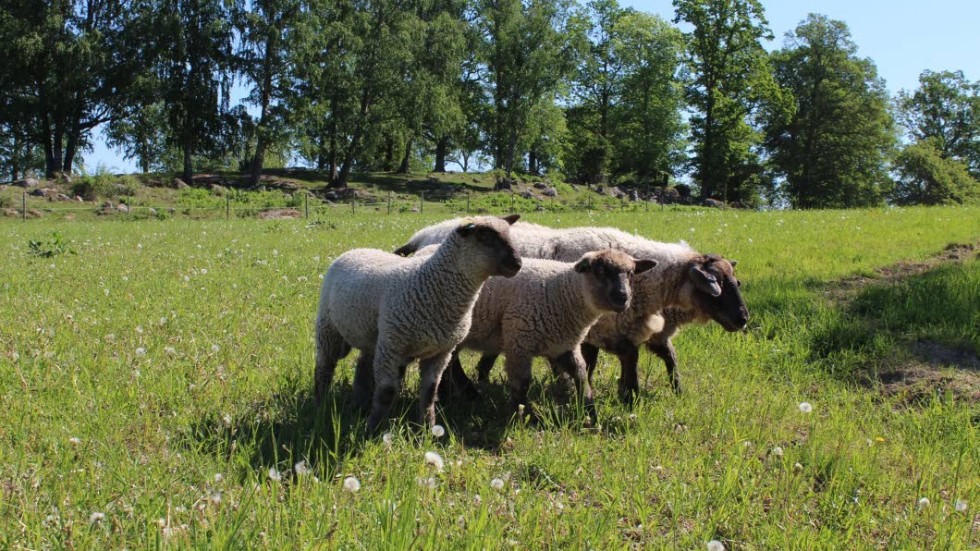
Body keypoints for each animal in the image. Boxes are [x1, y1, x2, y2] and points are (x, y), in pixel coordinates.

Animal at [318, 213, 524, 434]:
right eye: (484, 236)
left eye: (509, 234)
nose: (517, 263)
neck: (430, 283)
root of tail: (358, 249)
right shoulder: (392, 346)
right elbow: (386, 392)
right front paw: (373, 429)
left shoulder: (441, 352)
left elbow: (429, 391)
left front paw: (427, 428)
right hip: (329, 328)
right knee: (325, 366)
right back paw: (321, 401)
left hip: (373, 337)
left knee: (362, 366)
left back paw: (359, 404)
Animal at [400, 219, 752, 402]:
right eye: (716, 284)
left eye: (736, 281)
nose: (743, 319)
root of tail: (418, 237)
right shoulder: (598, 328)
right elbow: (616, 360)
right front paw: (623, 394)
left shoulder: (622, 330)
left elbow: (660, 357)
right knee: (452, 357)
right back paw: (465, 391)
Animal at [420, 248, 656, 420]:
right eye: (600, 271)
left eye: (631, 273)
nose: (622, 298)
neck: (564, 292)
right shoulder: (519, 341)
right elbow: (522, 382)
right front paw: (516, 417)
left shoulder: (564, 345)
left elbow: (581, 375)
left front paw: (590, 415)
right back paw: (460, 395)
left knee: (449, 364)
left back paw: (453, 395)